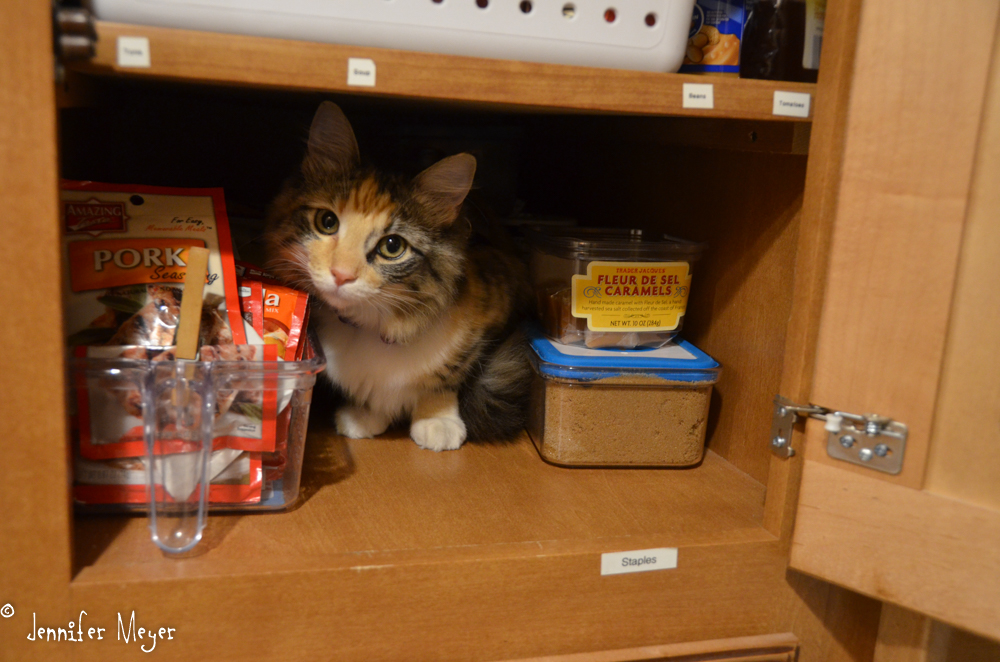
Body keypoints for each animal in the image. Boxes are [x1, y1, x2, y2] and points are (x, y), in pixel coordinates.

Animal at [264, 102, 532, 452]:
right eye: (327, 221)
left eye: (392, 246)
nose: (341, 275)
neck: (372, 323)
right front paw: (364, 415)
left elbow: (445, 379)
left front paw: (437, 420)